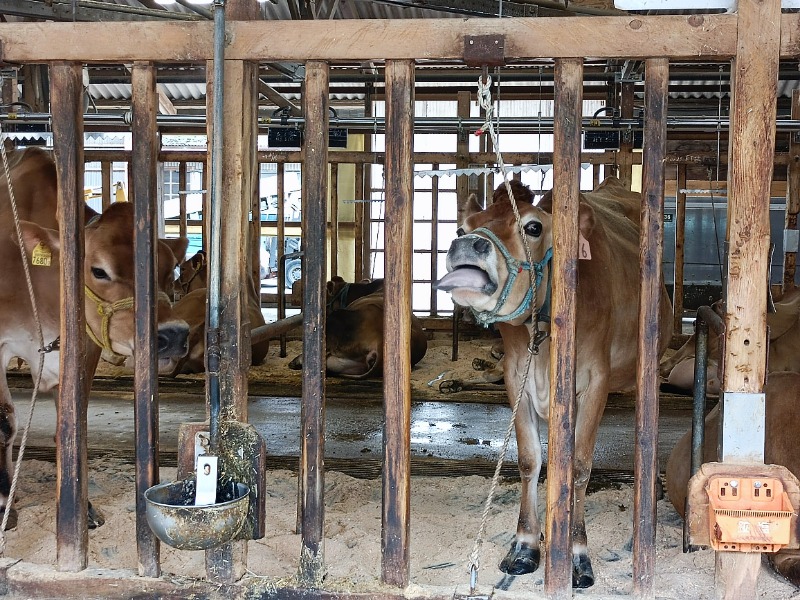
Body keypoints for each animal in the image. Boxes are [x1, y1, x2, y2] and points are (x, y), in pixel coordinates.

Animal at [0, 148, 189, 528]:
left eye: (170, 268)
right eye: (98, 270)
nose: (173, 335)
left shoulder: (82, 349)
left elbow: (72, 428)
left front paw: (81, 509)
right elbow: (5, 421)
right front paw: (5, 508)